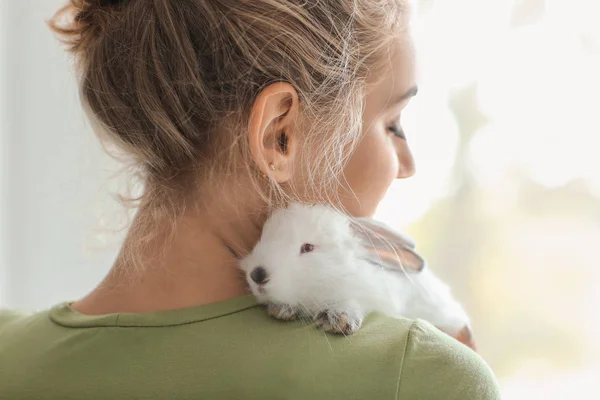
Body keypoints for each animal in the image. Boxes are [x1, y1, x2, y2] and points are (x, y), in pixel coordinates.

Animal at [239, 203, 478, 350]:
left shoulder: (376, 295)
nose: (257, 275)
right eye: (261, 238)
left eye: (308, 247)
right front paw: (281, 309)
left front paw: (336, 319)